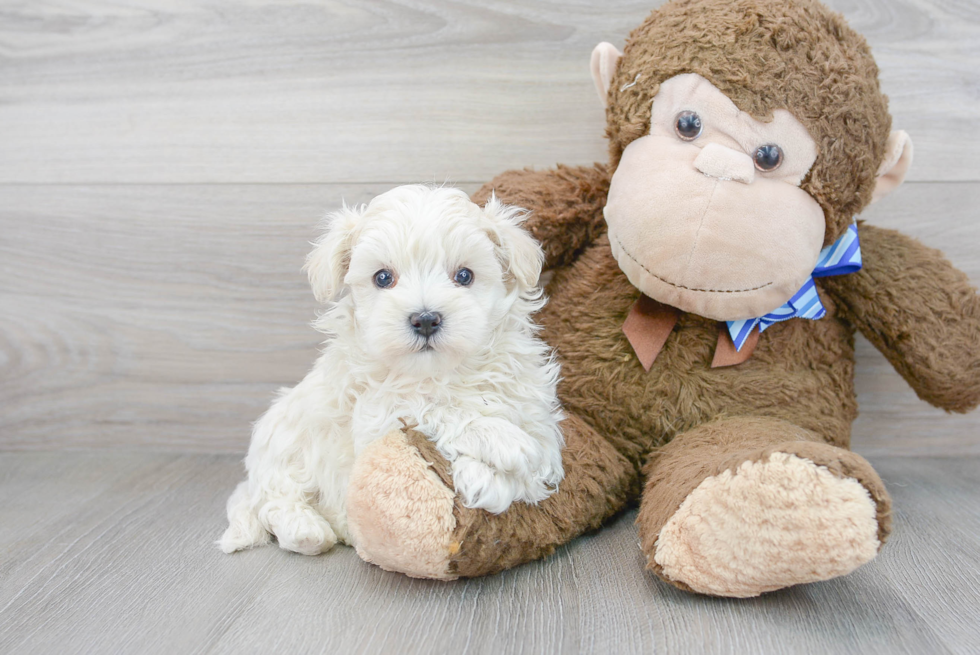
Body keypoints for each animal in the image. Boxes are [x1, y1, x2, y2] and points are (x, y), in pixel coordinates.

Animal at [218, 186, 564, 560]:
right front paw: (498, 445)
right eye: (383, 278)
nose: (425, 319)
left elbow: (538, 464)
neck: (441, 373)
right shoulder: (374, 419)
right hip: (282, 444)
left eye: (464, 276)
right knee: (273, 501)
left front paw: (488, 477)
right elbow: (429, 407)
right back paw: (306, 530)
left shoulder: (537, 416)